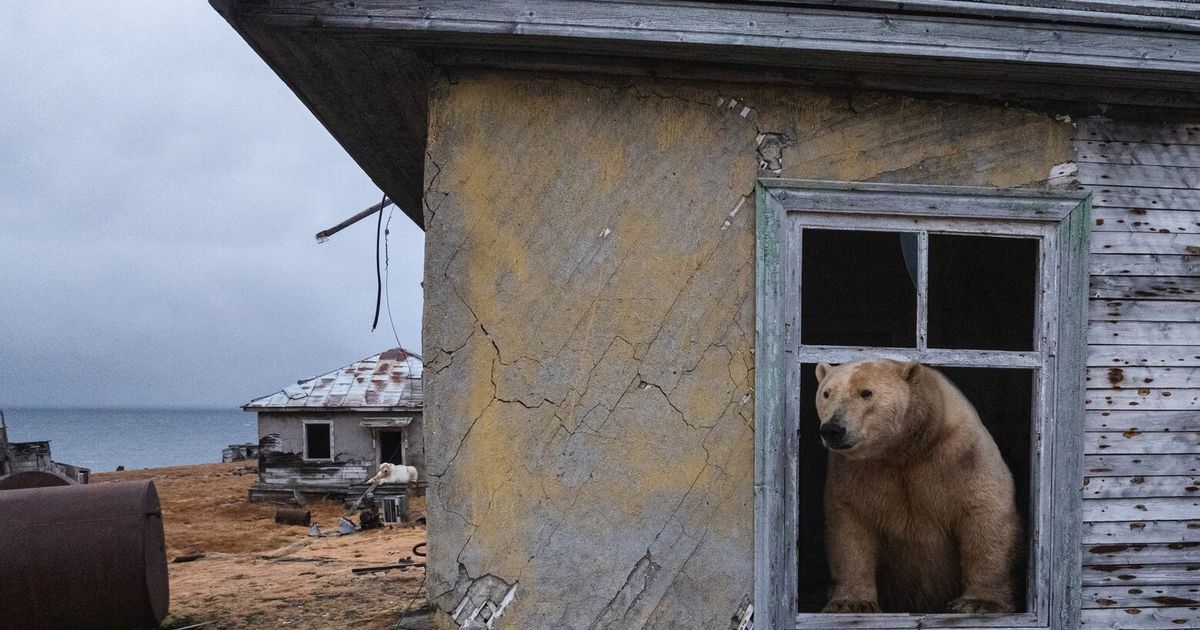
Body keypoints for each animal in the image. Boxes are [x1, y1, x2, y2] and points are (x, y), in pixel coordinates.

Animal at [815, 359, 1020, 615]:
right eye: (826, 393)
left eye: (866, 392)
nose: (833, 429)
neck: (906, 448)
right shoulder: (855, 470)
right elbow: (850, 524)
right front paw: (851, 603)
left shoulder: (963, 454)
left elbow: (985, 512)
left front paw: (979, 602)